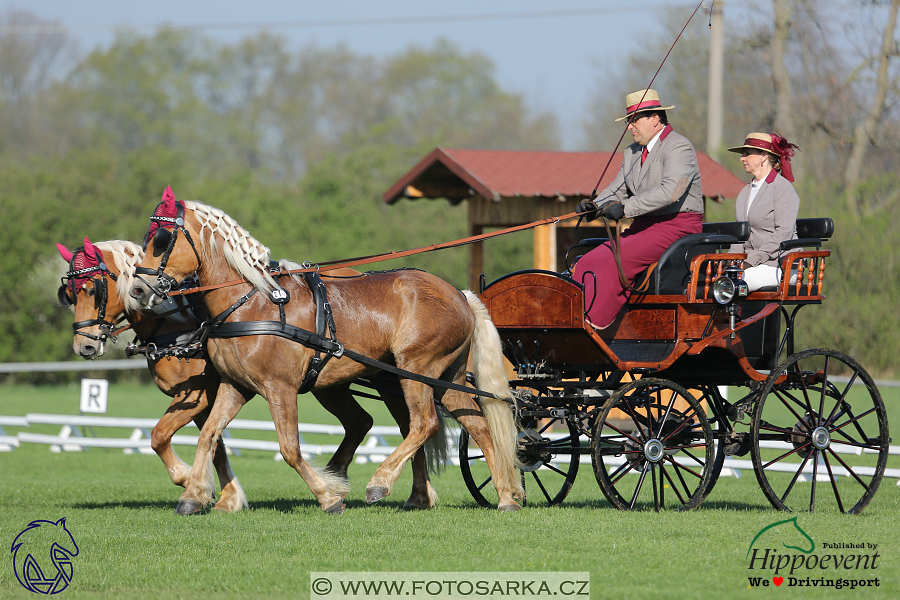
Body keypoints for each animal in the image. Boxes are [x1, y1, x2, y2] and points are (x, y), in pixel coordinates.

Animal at [54, 234, 448, 510]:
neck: (180, 320)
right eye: (69, 294)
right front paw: (220, 495)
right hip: (329, 384)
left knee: (410, 424)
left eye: (92, 289)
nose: (84, 346)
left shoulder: (198, 395)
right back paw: (361, 481)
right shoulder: (215, 396)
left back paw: (411, 492)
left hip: (392, 378)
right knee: (364, 422)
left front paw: (189, 480)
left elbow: (159, 436)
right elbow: (214, 443)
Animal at [125, 195, 520, 512]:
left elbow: (289, 448)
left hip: (417, 369)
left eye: (161, 240)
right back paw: (505, 496)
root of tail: (460, 295)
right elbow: (208, 434)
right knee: (478, 427)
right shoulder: (234, 386)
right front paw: (193, 495)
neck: (252, 302)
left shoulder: (280, 388)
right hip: (444, 377)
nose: (138, 289)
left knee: (424, 424)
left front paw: (328, 496)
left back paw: (380, 482)